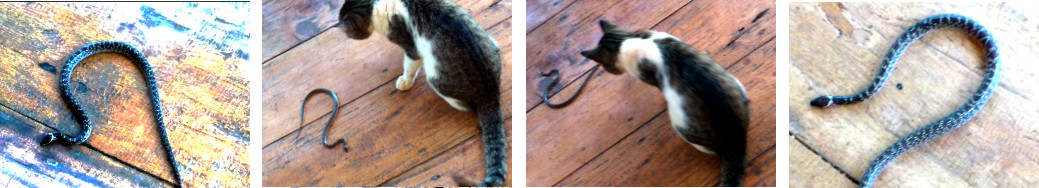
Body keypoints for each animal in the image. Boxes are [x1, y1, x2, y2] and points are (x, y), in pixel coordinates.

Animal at [336, 0, 507, 185]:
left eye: (349, 32)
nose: (347, 37)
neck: (375, 5)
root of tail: (490, 94)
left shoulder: (412, 48)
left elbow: (410, 66)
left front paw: (404, 81)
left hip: (435, 77)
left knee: (466, 105)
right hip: (492, 43)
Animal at [581, 19, 752, 186]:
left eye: (606, 67)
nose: (608, 71)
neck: (628, 39)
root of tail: (736, 144)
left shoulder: (648, 74)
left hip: (680, 125)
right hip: (738, 85)